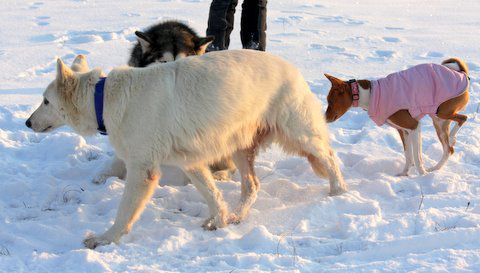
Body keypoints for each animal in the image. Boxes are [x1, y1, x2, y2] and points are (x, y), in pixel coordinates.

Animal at [26, 51, 346, 249]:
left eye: (45, 101)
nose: (27, 123)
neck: (102, 99)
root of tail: (292, 68)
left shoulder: (142, 170)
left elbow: (124, 213)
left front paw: (107, 238)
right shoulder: (191, 163)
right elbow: (213, 195)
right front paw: (220, 220)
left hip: (298, 134)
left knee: (329, 157)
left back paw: (339, 192)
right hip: (239, 146)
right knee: (252, 185)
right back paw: (237, 216)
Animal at [326, 58, 468, 175]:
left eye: (330, 102)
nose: (325, 118)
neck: (369, 94)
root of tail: (461, 73)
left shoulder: (414, 126)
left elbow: (417, 157)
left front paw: (422, 175)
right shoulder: (403, 131)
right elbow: (408, 155)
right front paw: (404, 174)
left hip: (442, 112)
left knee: (463, 119)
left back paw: (452, 138)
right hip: (439, 121)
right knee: (448, 149)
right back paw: (436, 168)